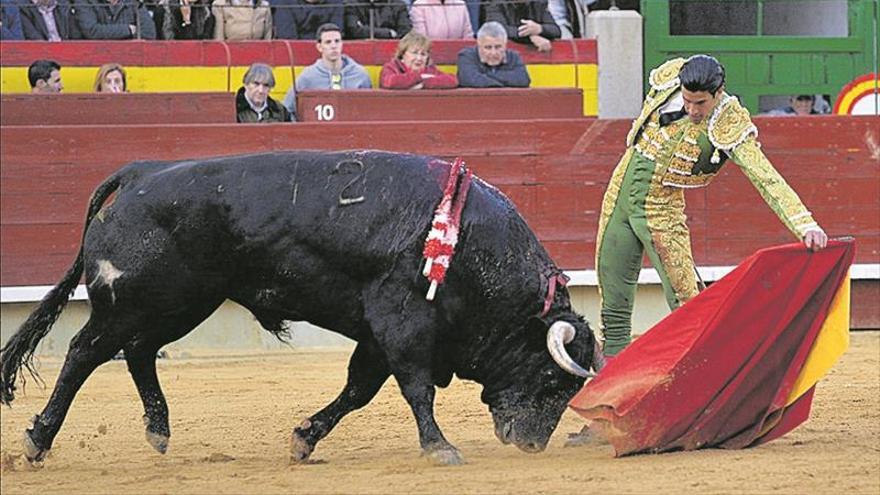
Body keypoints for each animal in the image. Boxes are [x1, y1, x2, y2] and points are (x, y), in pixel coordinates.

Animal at [0, 150, 600, 464]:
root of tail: (142, 172)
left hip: (180, 303)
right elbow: (416, 386)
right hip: (136, 301)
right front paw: (439, 447)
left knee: (139, 351)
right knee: (84, 352)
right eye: (553, 381)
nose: (530, 444)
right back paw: (38, 440)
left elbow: (358, 390)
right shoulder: (402, 319)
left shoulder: (376, 333)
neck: (471, 246)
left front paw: (304, 438)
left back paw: (159, 430)